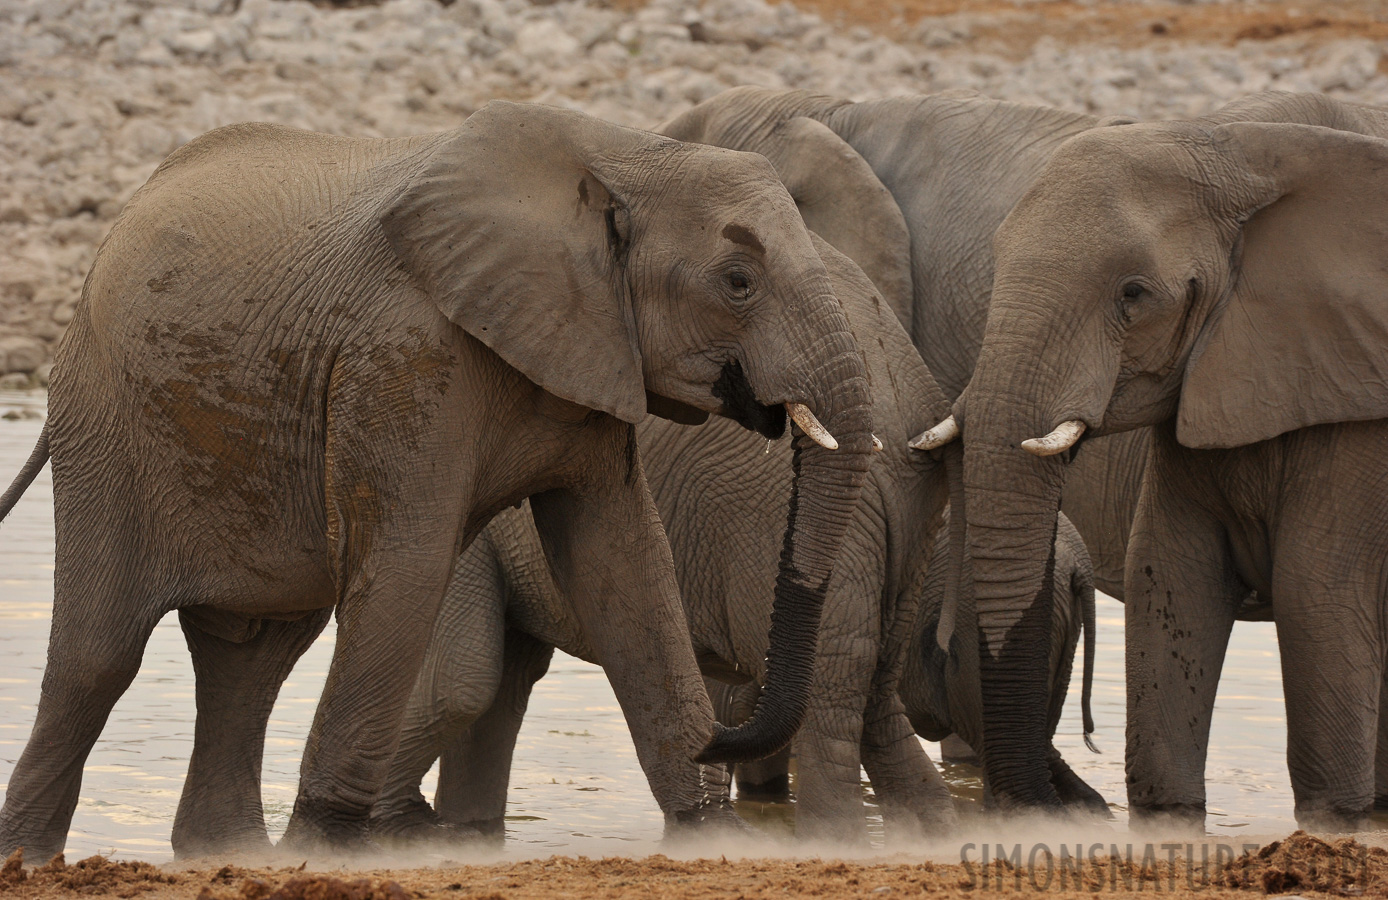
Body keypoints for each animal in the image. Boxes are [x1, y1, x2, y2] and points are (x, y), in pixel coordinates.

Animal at [0, 102, 871, 861]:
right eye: (738, 281)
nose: (720, 734)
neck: (626, 152)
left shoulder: (592, 351)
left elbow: (625, 565)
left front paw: (713, 837)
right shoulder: (408, 355)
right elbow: (410, 564)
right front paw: (325, 850)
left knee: (254, 655)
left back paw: (229, 854)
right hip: (106, 415)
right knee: (100, 656)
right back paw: (33, 858)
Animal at [916, 89, 1388, 827]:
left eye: (1133, 294)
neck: (1240, 146)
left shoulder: (1363, 408)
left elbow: (1319, 593)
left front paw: (1337, 823)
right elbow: (1170, 575)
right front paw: (1167, 822)